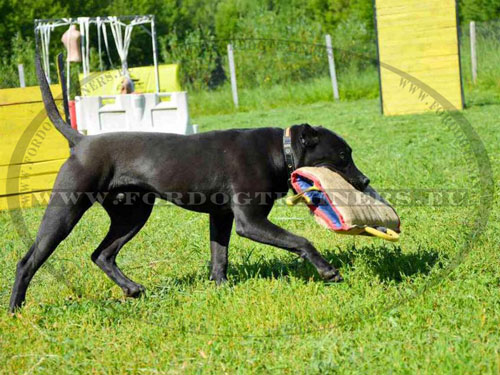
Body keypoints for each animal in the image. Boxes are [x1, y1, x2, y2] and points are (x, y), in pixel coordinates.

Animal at [6, 42, 368, 312]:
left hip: (132, 214)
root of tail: (80, 141)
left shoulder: (221, 218)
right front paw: (328, 271)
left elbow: (220, 257)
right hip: (65, 213)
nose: (364, 182)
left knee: (102, 254)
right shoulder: (249, 221)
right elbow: (301, 240)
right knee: (28, 261)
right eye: (342, 155)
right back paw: (15, 309)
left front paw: (222, 288)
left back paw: (133, 289)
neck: (279, 152)